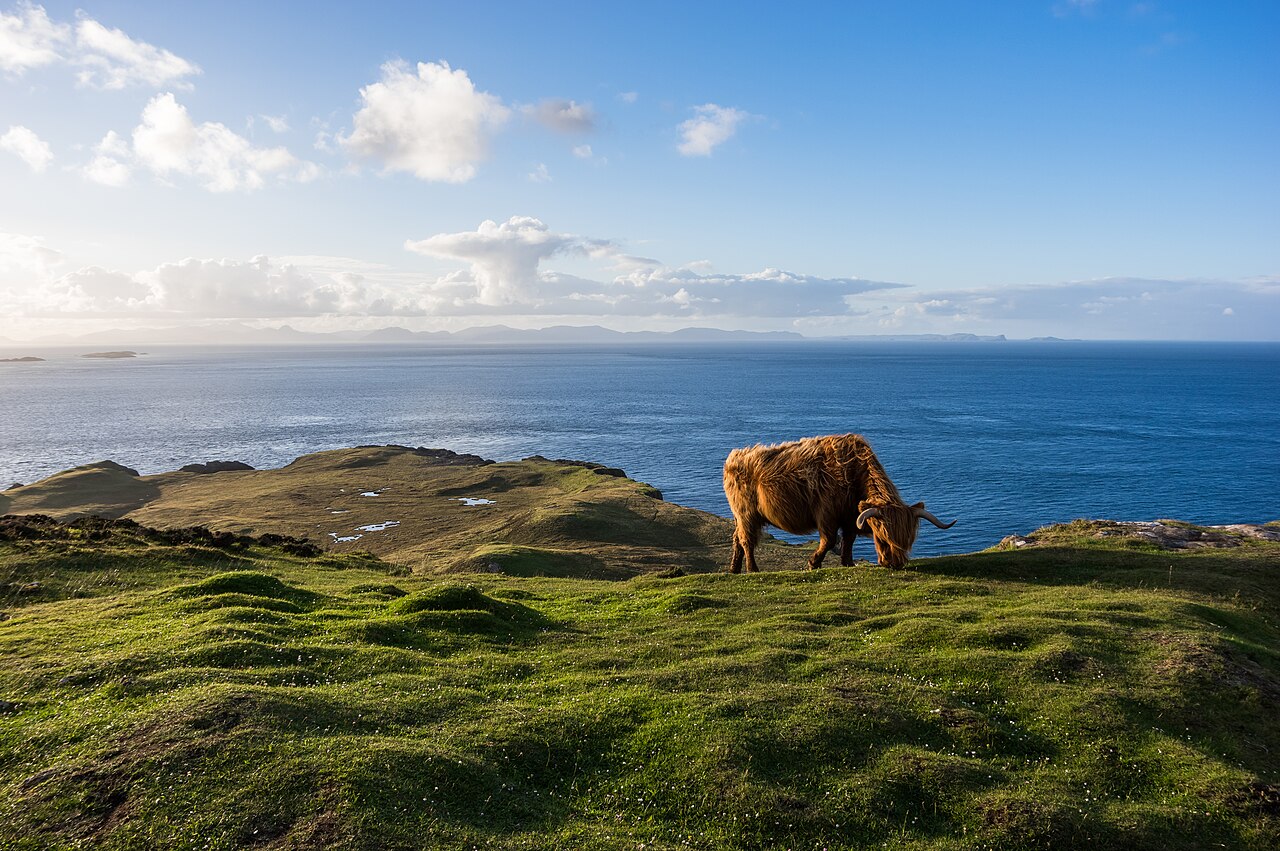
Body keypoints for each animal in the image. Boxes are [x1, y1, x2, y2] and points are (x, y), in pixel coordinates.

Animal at [722, 433, 955, 572]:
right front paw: (813, 563)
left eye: (908, 541)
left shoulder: (851, 517)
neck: (855, 473)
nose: (895, 564)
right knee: (747, 540)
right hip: (747, 514)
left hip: (739, 516)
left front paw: (848, 562)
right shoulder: (827, 514)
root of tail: (734, 456)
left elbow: (849, 539)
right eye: (883, 538)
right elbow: (829, 540)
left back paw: (734, 570)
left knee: (736, 538)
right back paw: (752, 569)